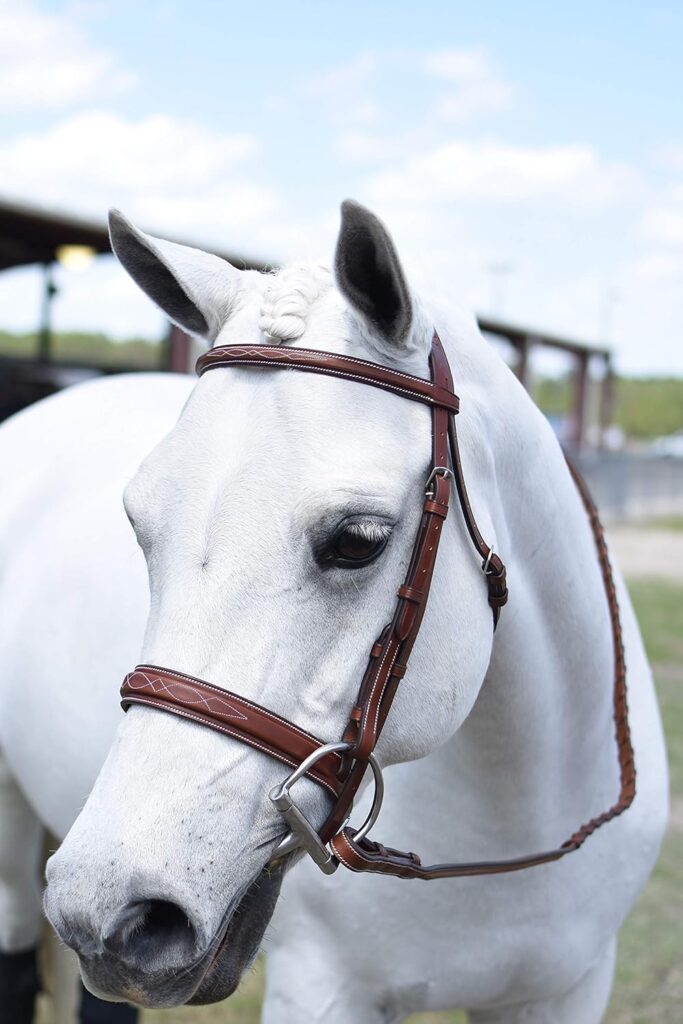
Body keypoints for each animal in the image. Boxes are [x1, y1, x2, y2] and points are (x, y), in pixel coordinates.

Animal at [0, 201, 667, 1024]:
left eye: (357, 540)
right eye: (138, 525)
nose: (112, 908)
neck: (511, 820)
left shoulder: (567, 989)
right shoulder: (323, 990)